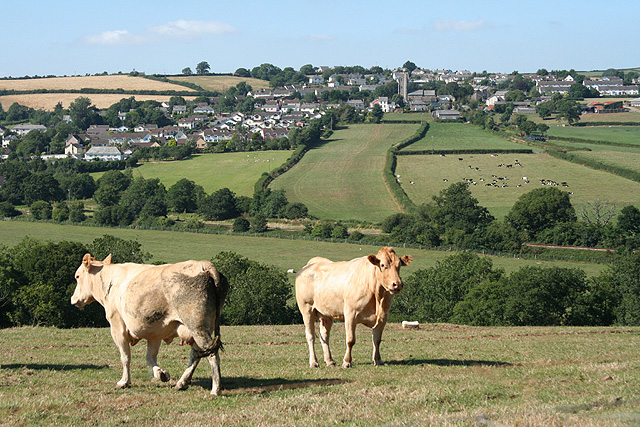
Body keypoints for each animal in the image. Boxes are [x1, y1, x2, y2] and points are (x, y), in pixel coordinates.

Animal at [70, 252, 229, 396]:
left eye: (77, 276)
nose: (73, 299)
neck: (110, 280)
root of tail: (204, 265)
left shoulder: (117, 327)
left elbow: (125, 356)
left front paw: (124, 382)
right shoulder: (155, 333)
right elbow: (150, 357)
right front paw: (160, 373)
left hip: (198, 327)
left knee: (211, 354)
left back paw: (215, 389)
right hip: (199, 329)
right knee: (197, 354)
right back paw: (182, 383)